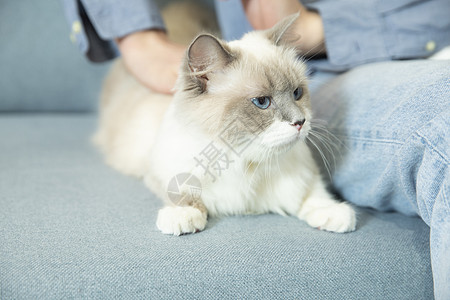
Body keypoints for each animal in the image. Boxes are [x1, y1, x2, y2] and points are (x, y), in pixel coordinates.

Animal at [95, 13, 356, 234]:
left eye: (297, 93)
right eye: (262, 102)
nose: (300, 122)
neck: (246, 162)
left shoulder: (303, 177)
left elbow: (313, 193)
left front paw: (333, 212)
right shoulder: (160, 170)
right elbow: (184, 194)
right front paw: (183, 216)